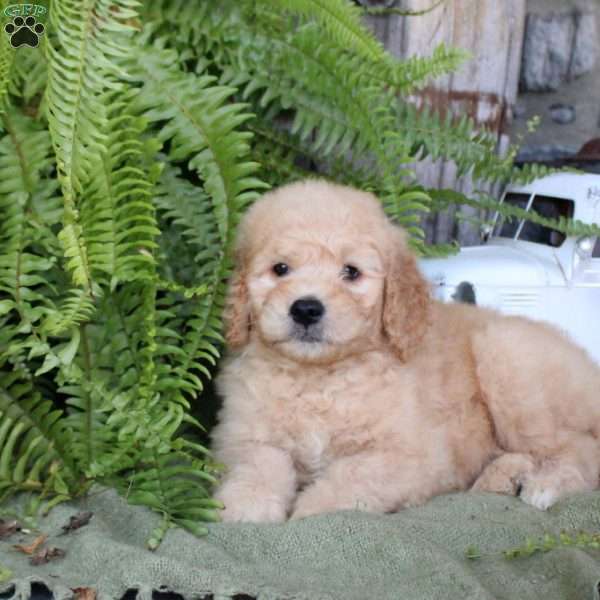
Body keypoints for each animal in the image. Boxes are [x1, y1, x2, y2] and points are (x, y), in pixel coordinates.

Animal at [211, 178, 600, 520]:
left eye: (351, 272)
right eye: (280, 269)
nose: (306, 309)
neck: (320, 379)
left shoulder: (410, 456)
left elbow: (346, 482)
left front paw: (308, 515)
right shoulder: (245, 436)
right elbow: (257, 468)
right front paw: (243, 507)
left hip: (507, 358)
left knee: (580, 448)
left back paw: (544, 485)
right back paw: (503, 476)